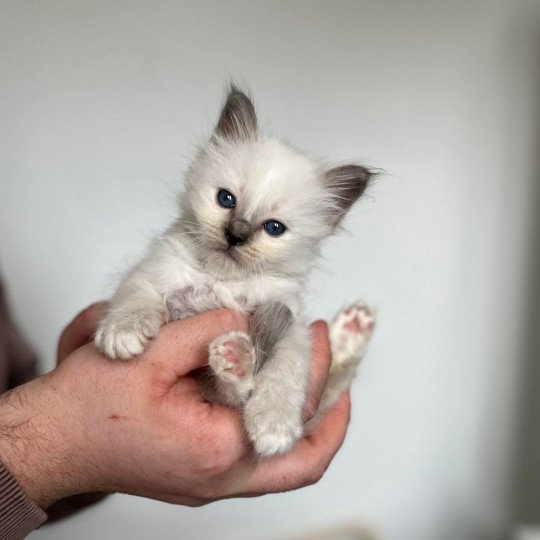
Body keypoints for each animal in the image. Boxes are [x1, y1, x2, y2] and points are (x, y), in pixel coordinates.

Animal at [94, 87, 376, 456]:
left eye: (274, 228)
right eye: (226, 199)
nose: (236, 235)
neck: (219, 282)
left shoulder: (291, 326)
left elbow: (285, 370)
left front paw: (274, 427)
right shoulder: (154, 271)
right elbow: (135, 297)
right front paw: (123, 334)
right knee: (230, 390)